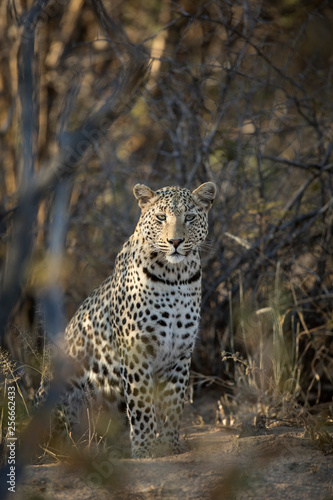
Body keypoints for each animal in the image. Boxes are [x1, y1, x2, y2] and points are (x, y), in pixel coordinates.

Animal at [35, 182, 215, 458]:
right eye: (161, 217)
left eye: (190, 217)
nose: (175, 241)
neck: (176, 277)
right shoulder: (135, 350)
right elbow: (141, 404)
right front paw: (144, 449)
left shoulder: (180, 352)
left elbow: (174, 403)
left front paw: (171, 446)